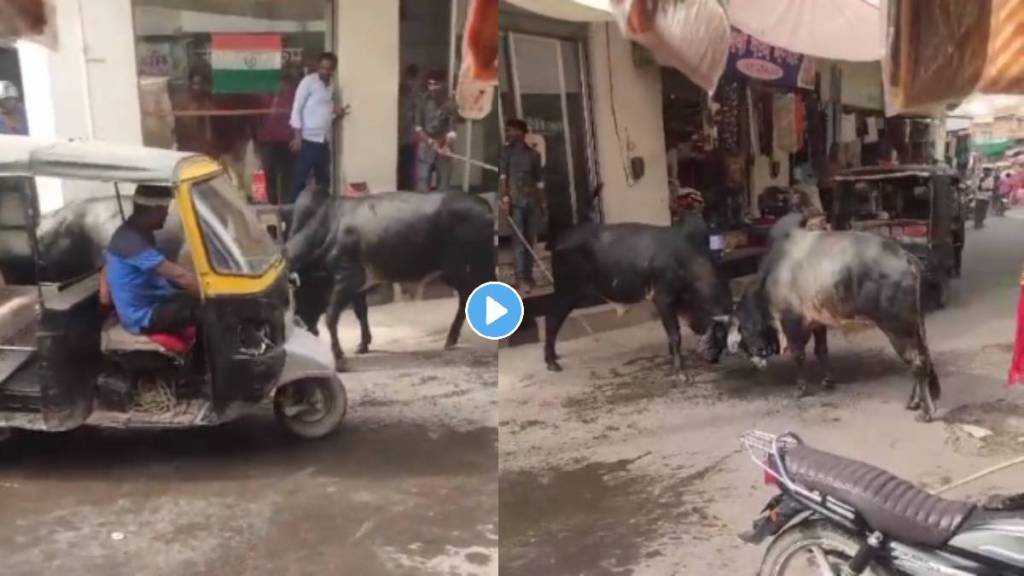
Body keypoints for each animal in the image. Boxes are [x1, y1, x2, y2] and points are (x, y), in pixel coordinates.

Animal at [282, 186, 493, 368]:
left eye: (300, 291)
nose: (302, 323)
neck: (327, 229)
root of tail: (484, 205)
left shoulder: (347, 279)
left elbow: (331, 317)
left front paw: (340, 358)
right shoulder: (358, 286)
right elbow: (361, 313)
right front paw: (363, 344)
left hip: (473, 266)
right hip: (452, 271)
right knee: (466, 295)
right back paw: (452, 338)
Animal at [544, 222, 737, 379]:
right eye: (719, 334)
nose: (713, 359)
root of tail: (560, 240)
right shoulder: (662, 297)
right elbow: (675, 334)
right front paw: (681, 373)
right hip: (567, 291)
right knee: (552, 319)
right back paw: (552, 362)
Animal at [729, 228, 942, 422]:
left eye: (745, 330)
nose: (756, 359)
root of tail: (907, 257)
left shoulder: (792, 322)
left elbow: (798, 355)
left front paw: (801, 388)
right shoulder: (817, 322)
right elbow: (821, 350)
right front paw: (828, 381)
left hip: (898, 328)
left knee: (918, 362)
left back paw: (926, 412)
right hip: (916, 326)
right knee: (924, 357)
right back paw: (914, 402)